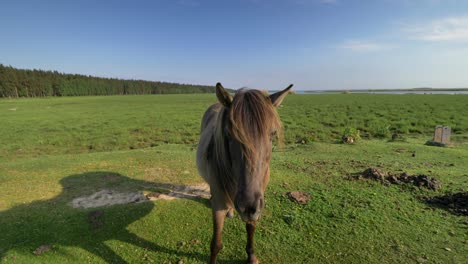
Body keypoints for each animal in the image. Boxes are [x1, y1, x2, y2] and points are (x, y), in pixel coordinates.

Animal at [197, 83, 292, 264]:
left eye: (272, 134)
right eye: (228, 134)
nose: (247, 206)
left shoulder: (258, 203)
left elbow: (251, 228)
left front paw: (251, 256)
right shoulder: (219, 204)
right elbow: (216, 244)